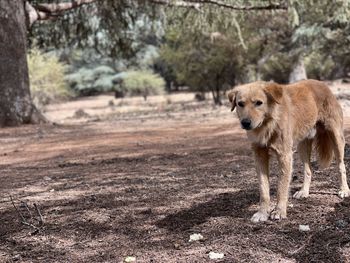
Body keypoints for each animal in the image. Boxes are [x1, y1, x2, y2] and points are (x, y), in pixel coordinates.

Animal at [227, 80, 350, 223]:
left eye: (259, 103)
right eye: (240, 104)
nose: (245, 123)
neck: (268, 124)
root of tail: (323, 85)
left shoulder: (284, 156)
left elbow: (282, 187)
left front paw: (279, 211)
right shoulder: (259, 156)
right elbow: (263, 189)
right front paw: (262, 213)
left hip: (336, 138)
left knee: (341, 166)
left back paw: (344, 190)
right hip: (302, 145)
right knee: (308, 170)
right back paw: (304, 191)